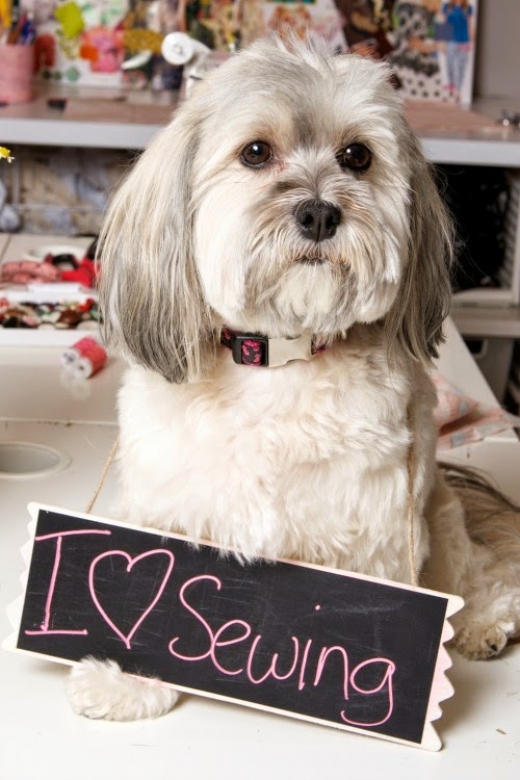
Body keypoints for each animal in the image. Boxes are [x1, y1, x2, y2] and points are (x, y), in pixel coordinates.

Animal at [65, 35, 520, 720]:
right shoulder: (165, 501)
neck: (278, 361)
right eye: (256, 152)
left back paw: (483, 621)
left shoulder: (378, 530)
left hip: (437, 515)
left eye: (357, 156)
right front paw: (129, 677)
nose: (319, 213)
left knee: (474, 571)